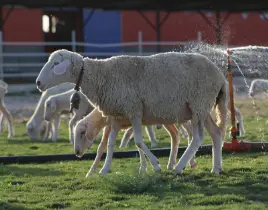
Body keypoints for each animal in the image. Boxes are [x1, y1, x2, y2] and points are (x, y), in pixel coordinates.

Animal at [35, 49, 228, 174]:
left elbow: (138, 141)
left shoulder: (134, 109)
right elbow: (109, 144)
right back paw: (216, 168)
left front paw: (155, 165)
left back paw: (179, 167)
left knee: (198, 138)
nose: (38, 83)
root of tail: (220, 76)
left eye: (56, 64)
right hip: (202, 108)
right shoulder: (116, 116)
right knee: (216, 133)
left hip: (198, 103)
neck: (100, 76)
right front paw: (104, 169)